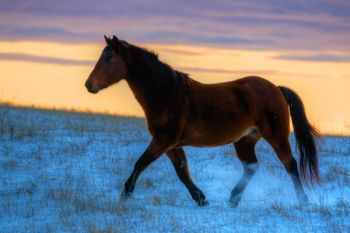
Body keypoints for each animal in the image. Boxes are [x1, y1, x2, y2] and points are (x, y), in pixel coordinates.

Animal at [85, 35, 320, 207]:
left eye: (108, 58)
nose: (89, 85)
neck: (168, 94)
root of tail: (277, 89)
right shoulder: (171, 145)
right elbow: (182, 171)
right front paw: (201, 199)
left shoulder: (163, 140)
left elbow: (141, 163)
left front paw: (125, 194)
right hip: (244, 140)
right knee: (252, 167)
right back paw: (233, 199)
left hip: (276, 136)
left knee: (290, 164)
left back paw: (303, 201)